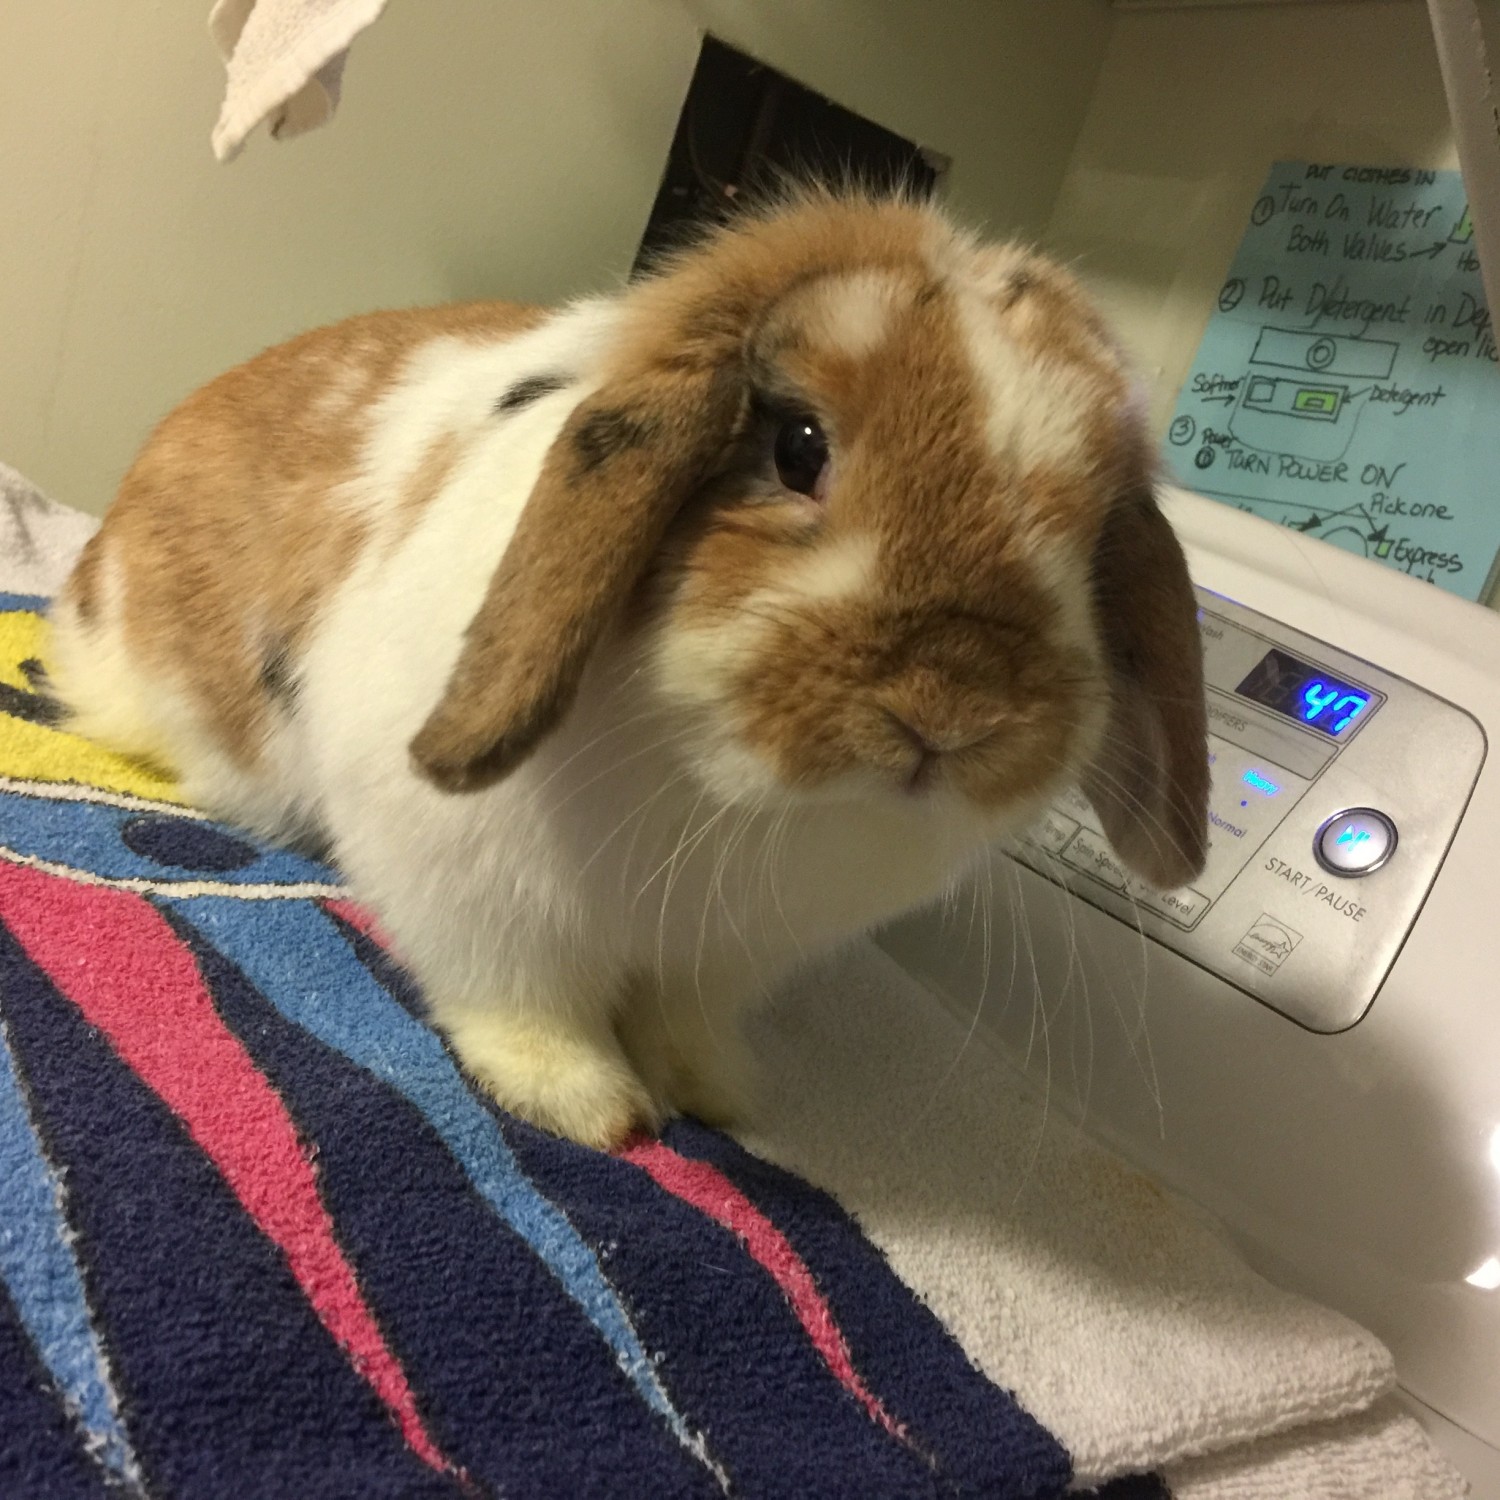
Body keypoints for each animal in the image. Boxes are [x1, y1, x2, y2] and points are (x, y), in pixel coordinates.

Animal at [48, 192, 1209, 1150]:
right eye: (798, 445)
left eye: (1098, 544)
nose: (954, 712)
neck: (726, 794)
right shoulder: (480, 901)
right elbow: (523, 1003)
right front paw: (592, 1108)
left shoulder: (728, 958)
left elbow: (687, 1021)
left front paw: (718, 1095)